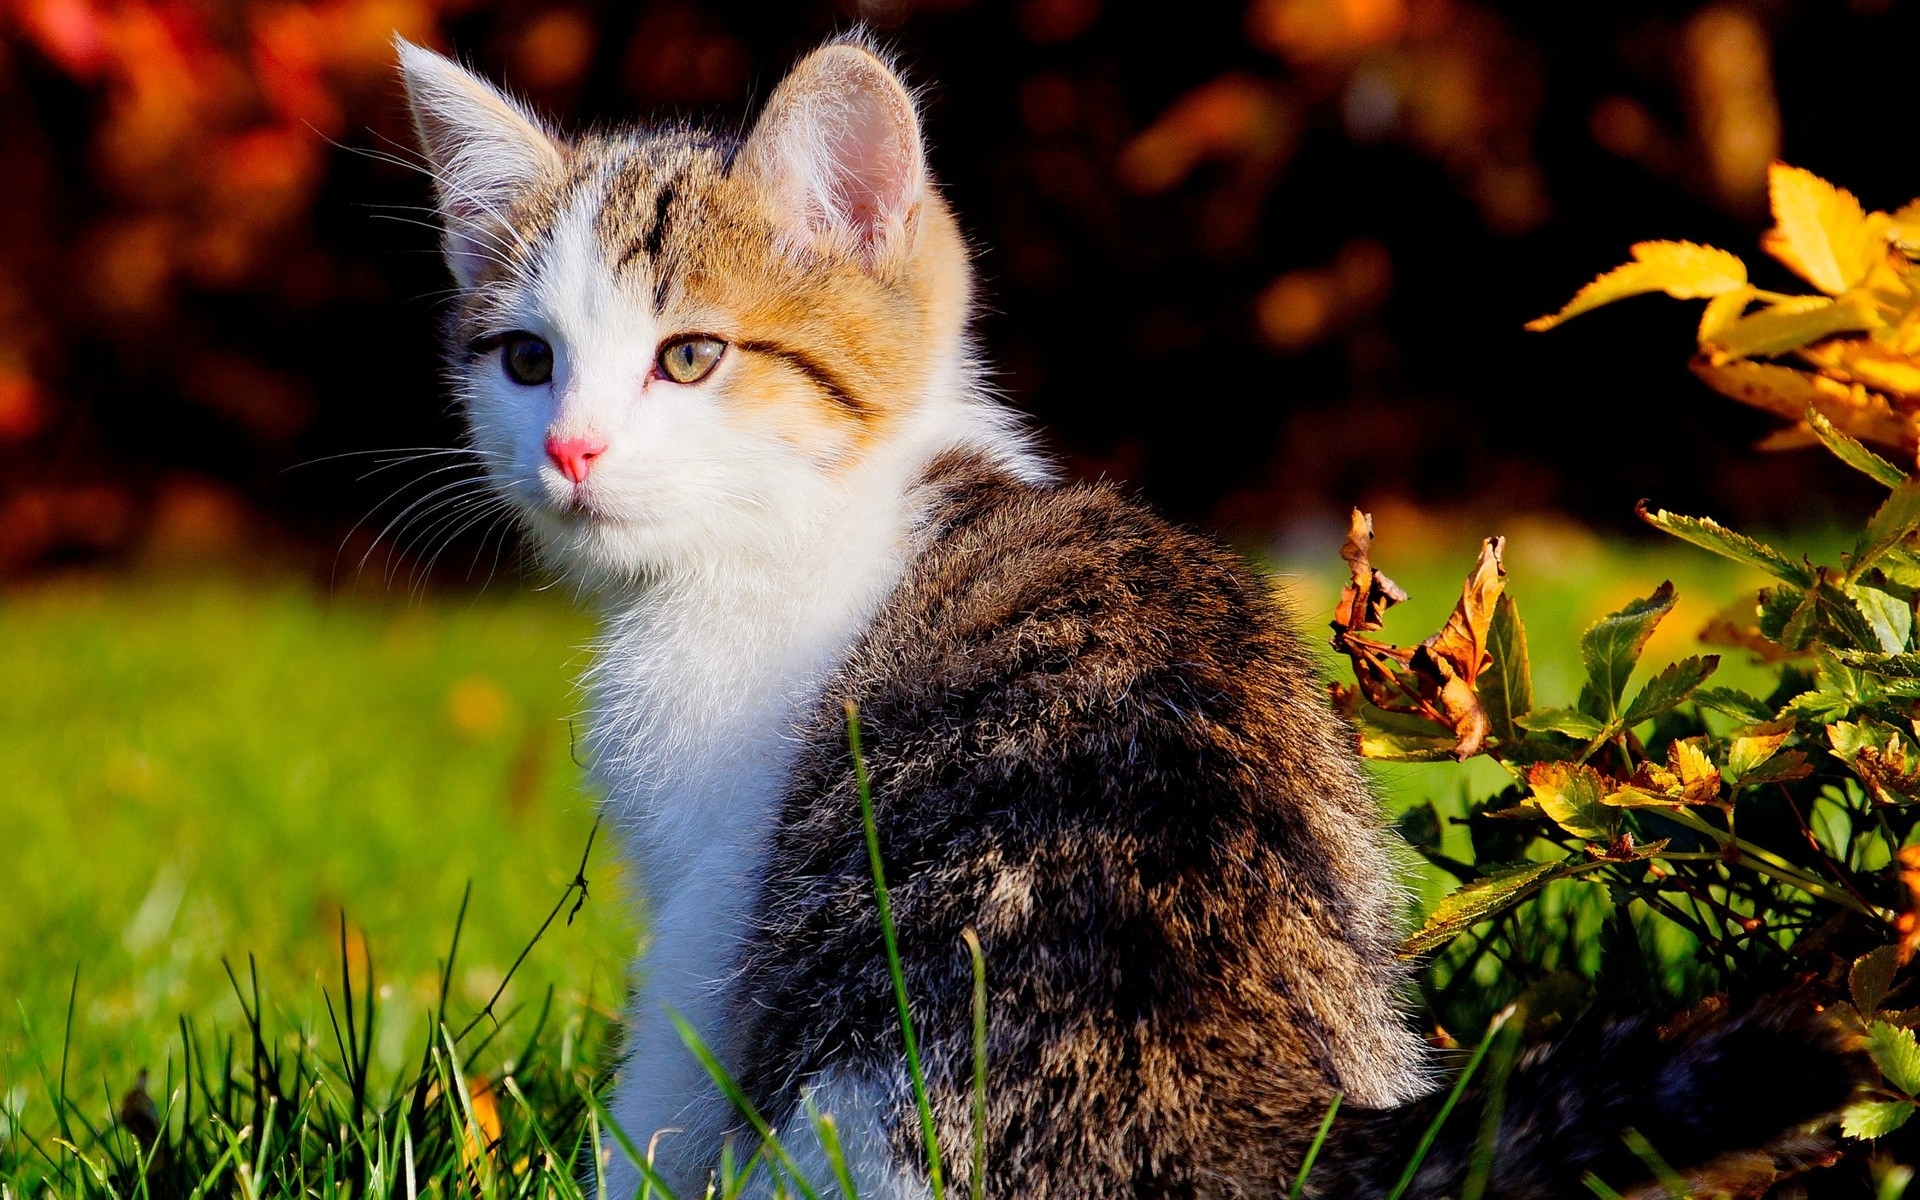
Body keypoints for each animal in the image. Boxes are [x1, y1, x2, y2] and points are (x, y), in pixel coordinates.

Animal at [401, 37, 1858, 1198]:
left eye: (691, 357)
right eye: (526, 360)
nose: (571, 451)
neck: (803, 518)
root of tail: (1223, 1097)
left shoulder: (716, 889)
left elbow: (668, 1076)